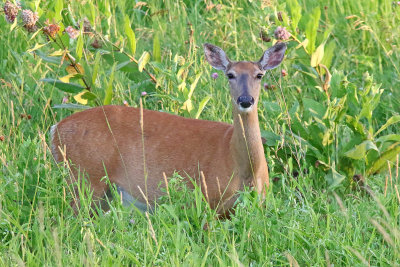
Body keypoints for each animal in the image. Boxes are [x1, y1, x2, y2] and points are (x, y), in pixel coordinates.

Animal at [50, 42, 288, 218]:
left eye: (259, 75)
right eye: (230, 74)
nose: (245, 100)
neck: (243, 167)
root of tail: (55, 130)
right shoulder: (209, 198)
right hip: (86, 176)